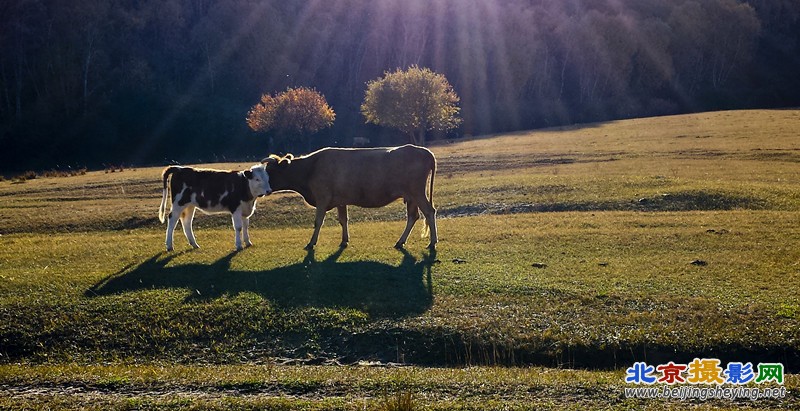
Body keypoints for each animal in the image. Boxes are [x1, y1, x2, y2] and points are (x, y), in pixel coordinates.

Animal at [262, 145, 438, 251]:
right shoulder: (341, 201)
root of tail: (422, 150)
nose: (264, 189)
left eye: (270, 171)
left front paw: (311, 243)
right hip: (411, 196)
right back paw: (400, 241)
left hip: (417, 192)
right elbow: (343, 220)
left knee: (429, 212)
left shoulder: (322, 198)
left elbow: (318, 221)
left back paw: (432, 242)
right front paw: (344, 240)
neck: (310, 168)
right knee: (413, 216)